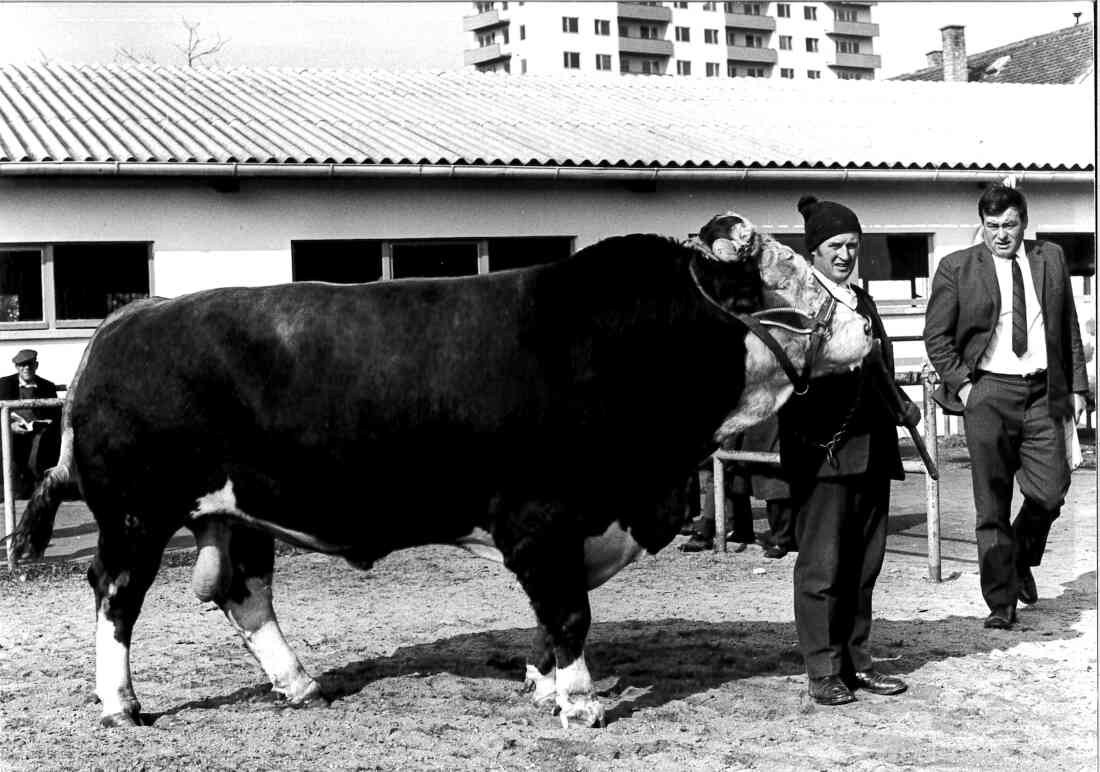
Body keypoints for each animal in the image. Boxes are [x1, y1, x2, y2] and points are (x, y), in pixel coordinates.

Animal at [8, 213, 866, 730]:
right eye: (772, 281)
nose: (862, 323)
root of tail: (132, 317)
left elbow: (553, 617)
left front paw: (546, 684)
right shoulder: (543, 520)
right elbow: (569, 615)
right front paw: (579, 704)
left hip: (232, 510)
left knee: (240, 590)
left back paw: (300, 683)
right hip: (135, 513)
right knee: (117, 595)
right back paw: (122, 704)